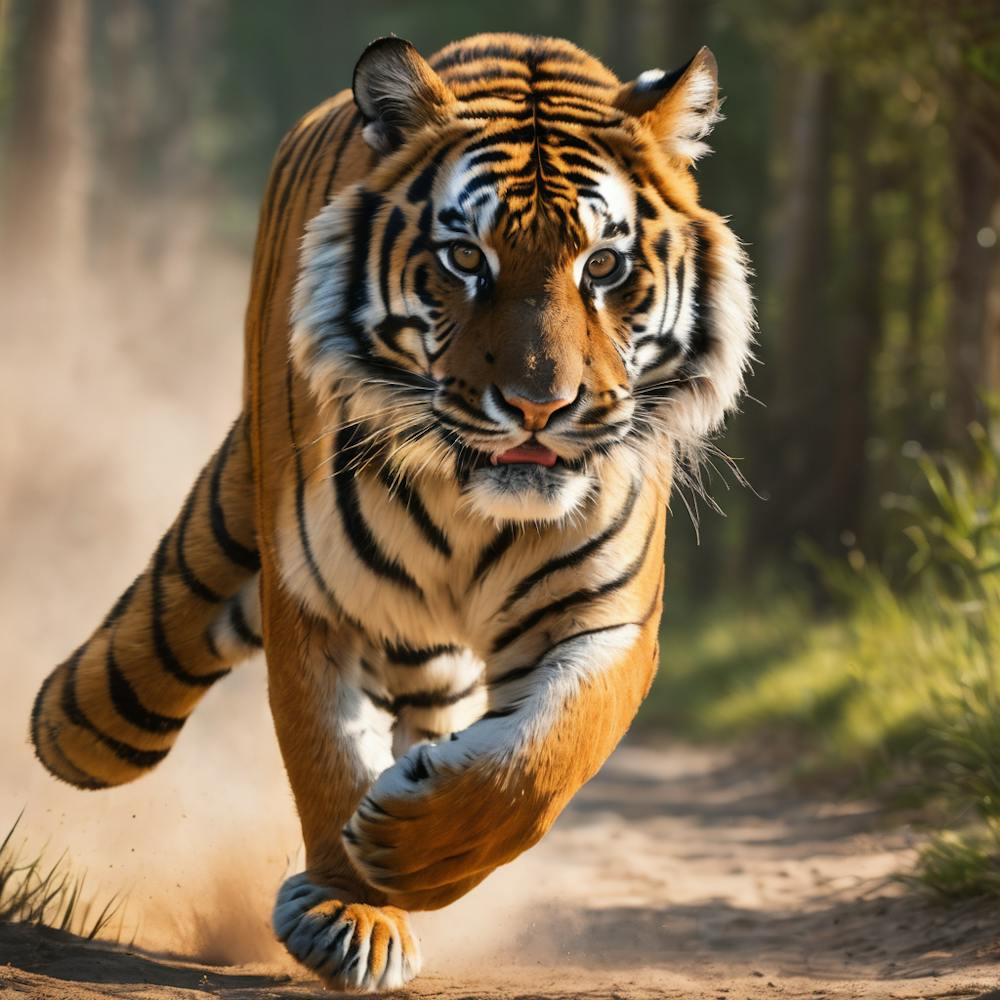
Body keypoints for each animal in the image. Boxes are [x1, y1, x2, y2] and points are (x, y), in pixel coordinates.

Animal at [30, 32, 754, 992]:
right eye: (466, 260)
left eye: (603, 266)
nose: (539, 406)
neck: (474, 505)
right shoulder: (318, 597)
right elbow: (325, 757)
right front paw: (354, 910)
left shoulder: (605, 617)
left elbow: (541, 759)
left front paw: (417, 854)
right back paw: (73, 735)